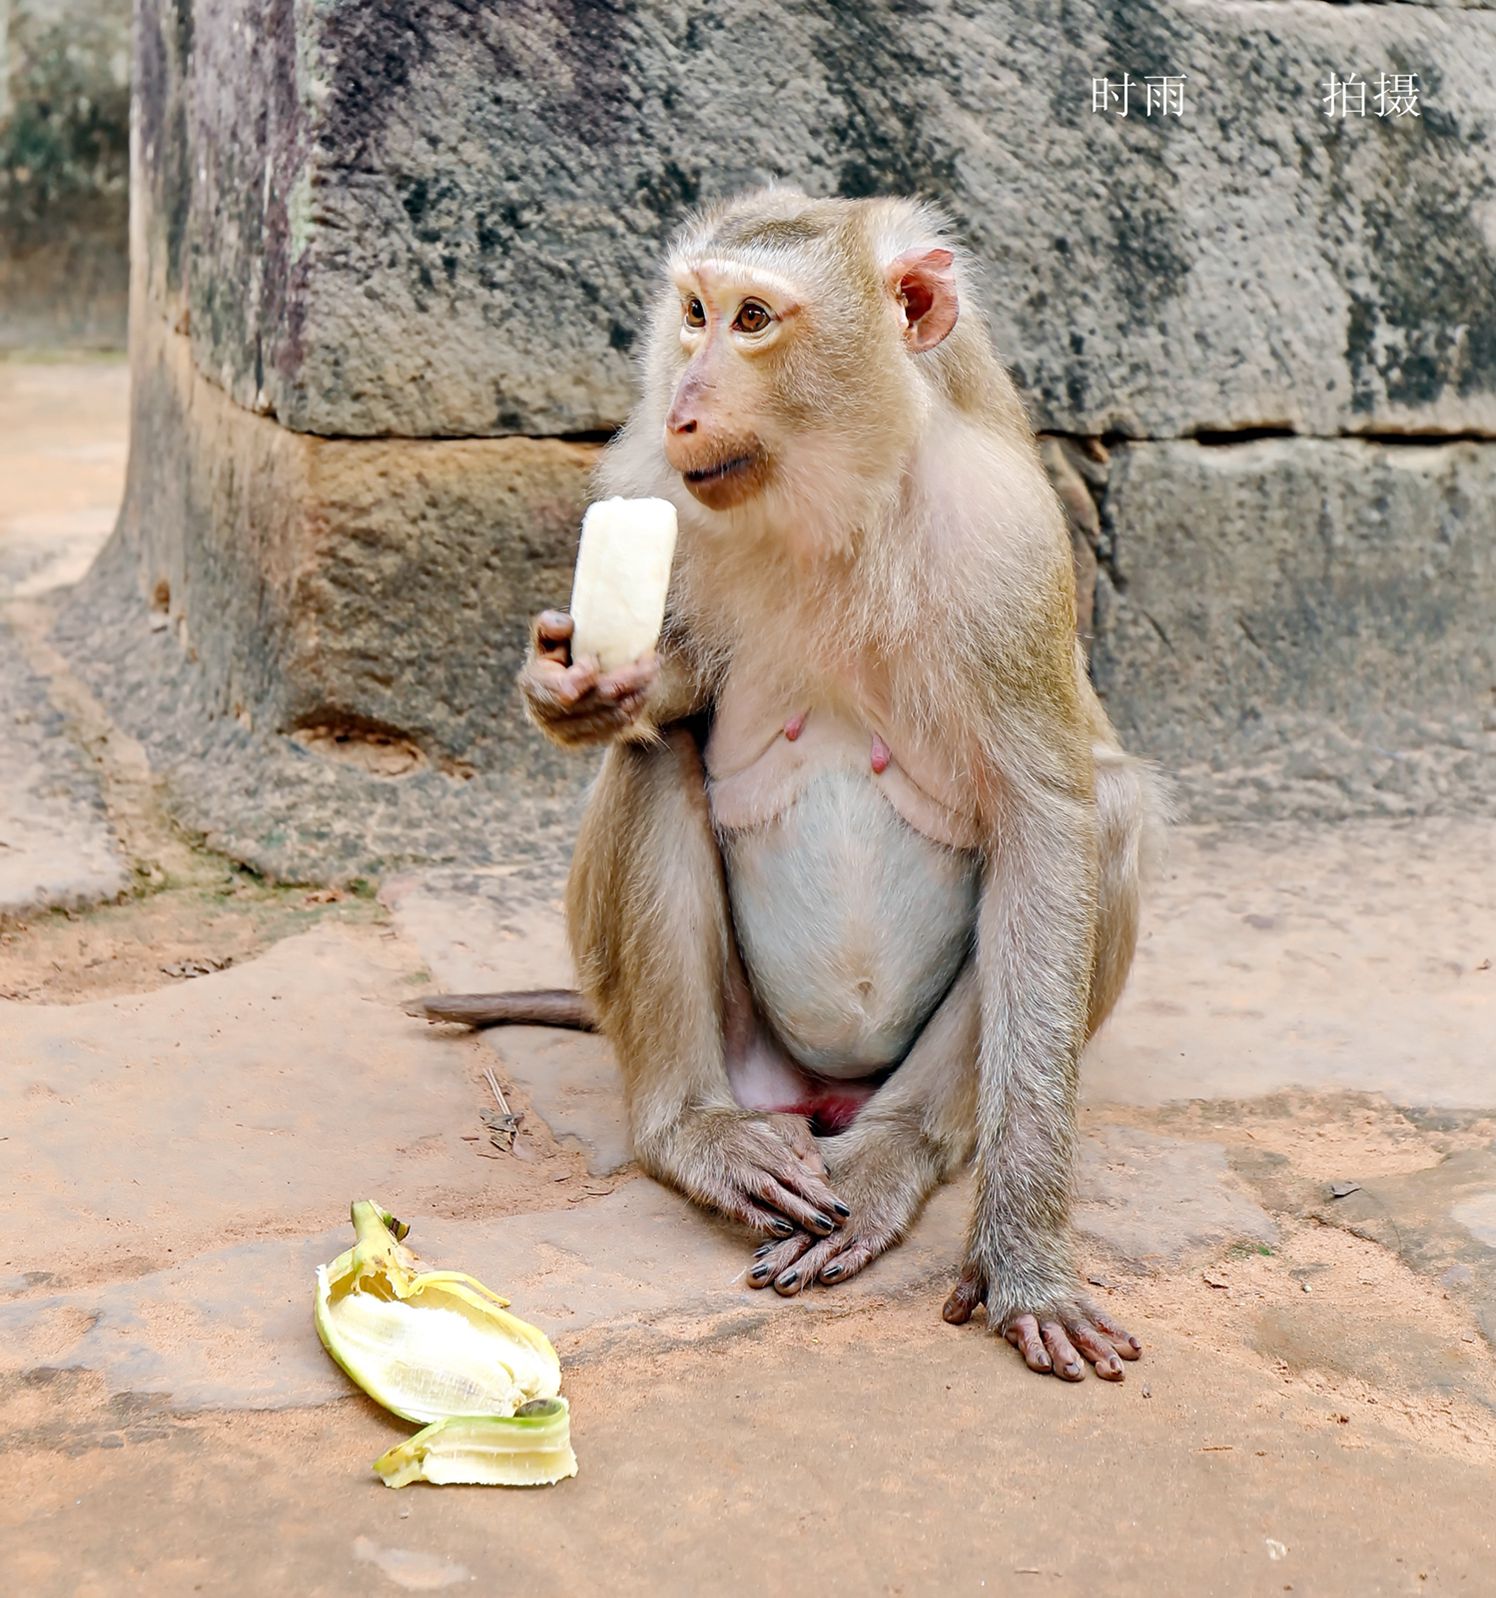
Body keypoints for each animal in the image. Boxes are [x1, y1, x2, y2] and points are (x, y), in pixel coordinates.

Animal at [421, 190, 1169, 1387]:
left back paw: (887, 1156)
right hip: (741, 1051)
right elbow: (670, 695)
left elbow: (1049, 821)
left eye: (755, 320)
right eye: (693, 312)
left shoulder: (1006, 547)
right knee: (658, 755)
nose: (682, 410)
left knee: (1101, 818)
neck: (836, 507)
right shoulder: (643, 491)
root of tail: (817, 1096)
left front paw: (1026, 1258)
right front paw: (568, 686)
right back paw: (694, 1133)